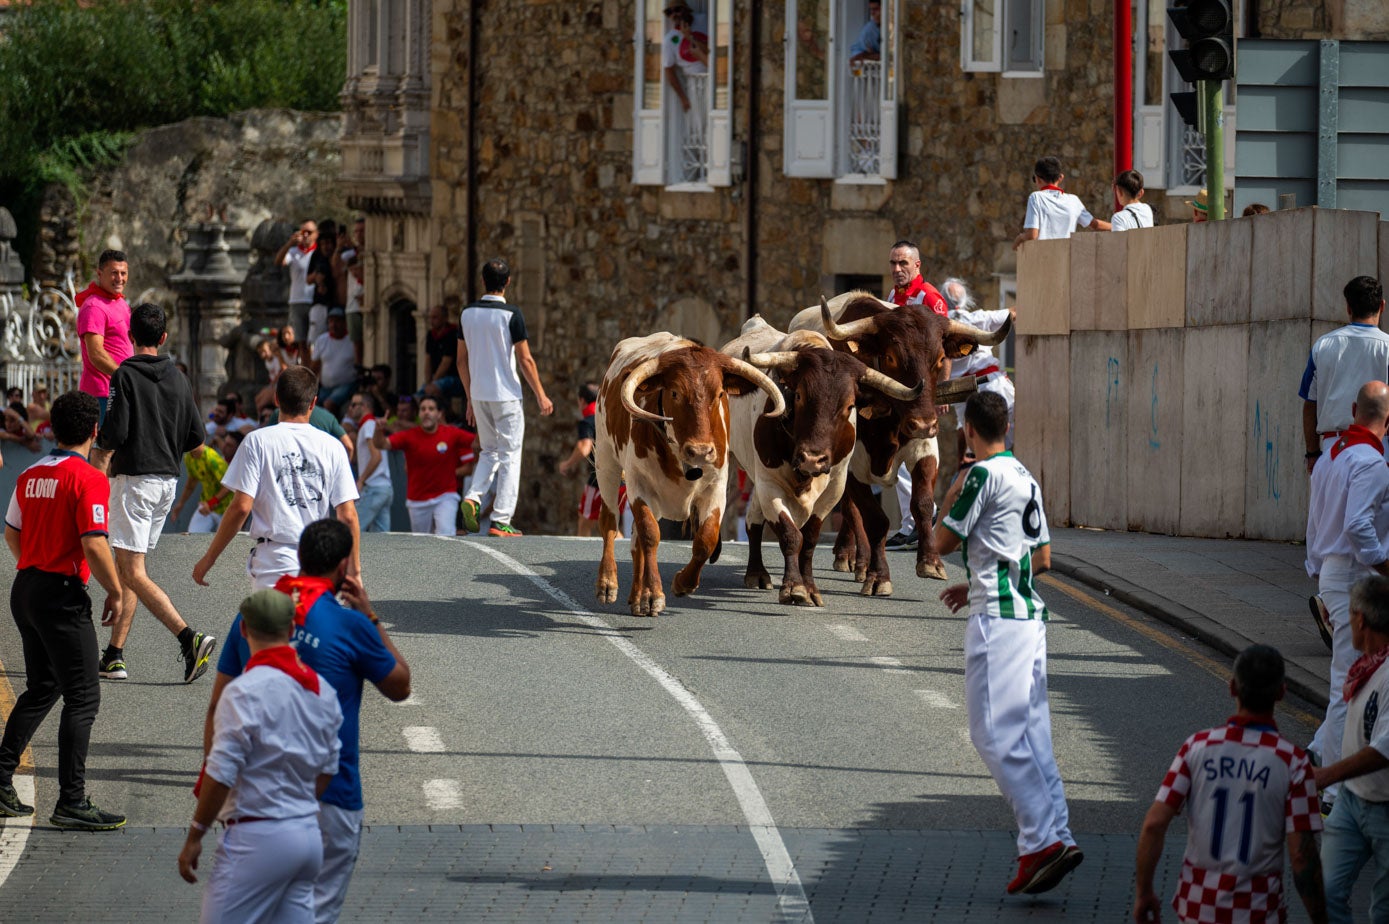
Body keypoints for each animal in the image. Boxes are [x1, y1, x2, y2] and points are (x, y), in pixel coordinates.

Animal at [727, 316, 922, 605]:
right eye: (798, 395)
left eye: (849, 406)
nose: (813, 459)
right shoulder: (769, 482)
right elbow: (790, 535)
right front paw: (794, 587)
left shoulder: (834, 488)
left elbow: (808, 539)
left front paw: (809, 588)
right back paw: (753, 572)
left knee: (753, 518)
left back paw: (756, 573)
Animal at [794, 291, 1011, 594]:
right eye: (891, 357)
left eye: (940, 358)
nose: (923, 424)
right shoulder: (850, 463)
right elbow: (874, 518)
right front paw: (878, 576)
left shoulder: (925, 448)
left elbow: (923, 503)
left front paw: (931, 562)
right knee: (851, 510)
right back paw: (855, 558)